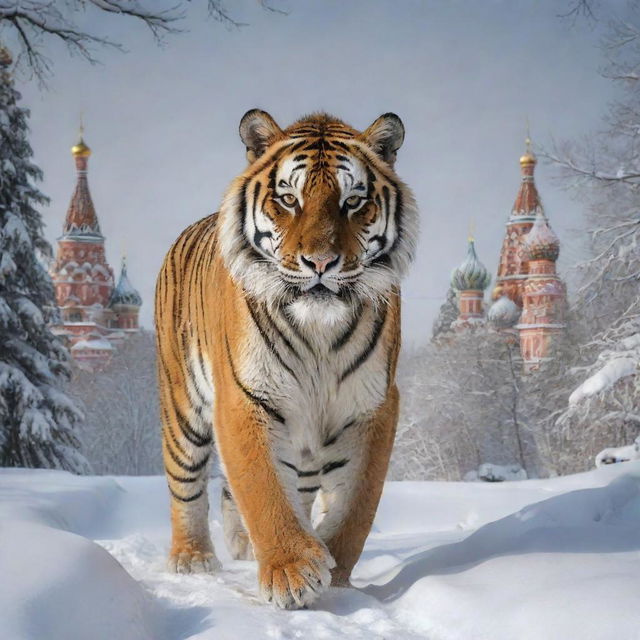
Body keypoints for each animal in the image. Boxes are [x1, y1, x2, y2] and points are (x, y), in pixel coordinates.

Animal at [153, 110, 418, 608]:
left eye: (354, 201)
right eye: (289, 199)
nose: (321, 263)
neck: (319, 331)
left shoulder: (370, 406)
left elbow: (356, 503)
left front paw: (335, 576)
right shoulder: (245, 398)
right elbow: (262, 487)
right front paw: (292, 572)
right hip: (183, 409)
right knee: (187, 485)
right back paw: (192, 557)